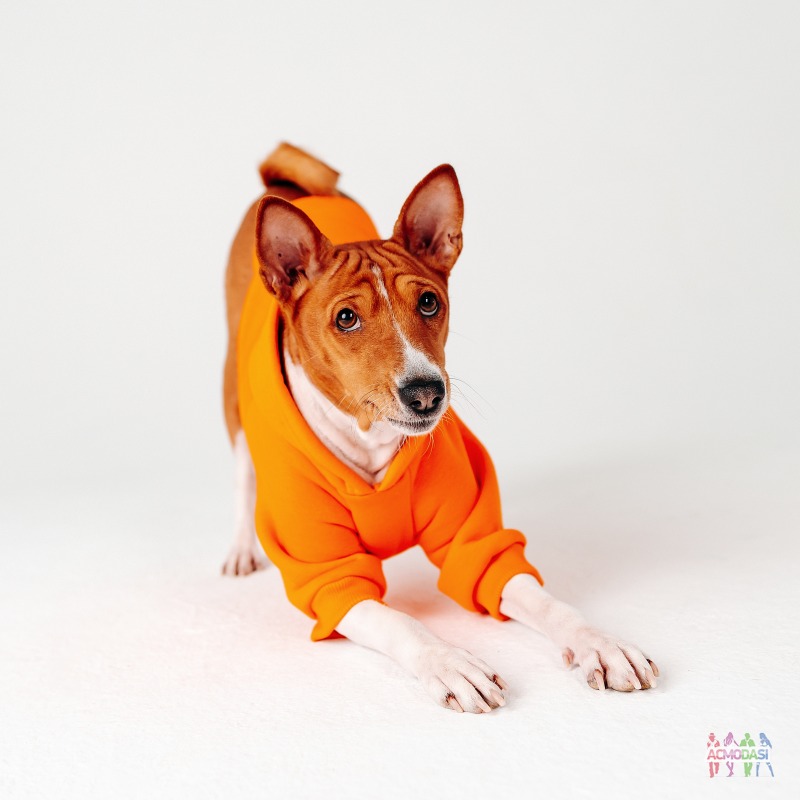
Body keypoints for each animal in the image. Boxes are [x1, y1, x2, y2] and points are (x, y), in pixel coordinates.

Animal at [221, 143, 658, 713]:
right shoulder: (330, 579)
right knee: (243, 473)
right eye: (345, 319)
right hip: (233, 394)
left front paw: (600, 644)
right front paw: (450, 662)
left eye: (429, 302)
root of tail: (290, 184)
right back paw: (239, 548)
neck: (371, 441)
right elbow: (400, 623)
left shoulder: (476, 542)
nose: (426, 391)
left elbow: (545, 601)